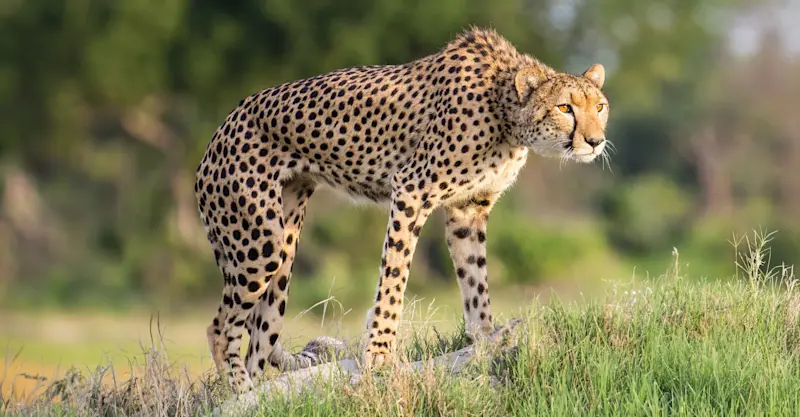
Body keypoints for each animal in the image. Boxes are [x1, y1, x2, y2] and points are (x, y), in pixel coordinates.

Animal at [194, 26, 610, 394]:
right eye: (564, 107)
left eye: (600, 106)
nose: (596, 141)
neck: (505, 112)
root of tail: (223, 125)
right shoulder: (411, 189)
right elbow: (393, 280)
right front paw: (379, 357)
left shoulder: (467, 210)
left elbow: (476, 284)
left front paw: (485, 341)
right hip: (259, 242)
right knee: (220, 327)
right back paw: (239, 391)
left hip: (284, 245)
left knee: (260, 333)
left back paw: (257, 390)